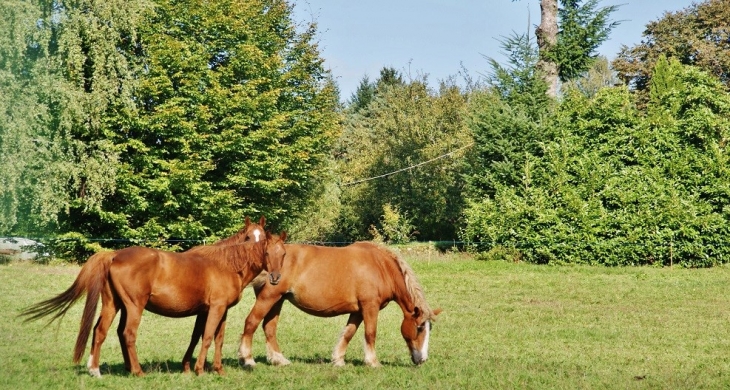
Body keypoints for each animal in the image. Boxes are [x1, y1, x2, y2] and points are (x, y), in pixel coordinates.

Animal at [18, 225, 286, 378]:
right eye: (251, 240)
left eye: (283, 253)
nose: (275, 277)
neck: (225, 264)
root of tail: (114, 254)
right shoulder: (216, 309)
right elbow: (208, 337)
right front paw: (199, 370)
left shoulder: (219, 310)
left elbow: (214, 338)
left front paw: (216, 369)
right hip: (134, 307)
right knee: (127, 334)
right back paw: (137, 371)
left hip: (114, 305)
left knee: (101, 331)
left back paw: (96, 370)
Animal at [237, 241, 438, 368]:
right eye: (420, 327)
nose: (422, 359)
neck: (381, 266)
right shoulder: (370, 307)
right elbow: (370, 334)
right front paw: (373, 362)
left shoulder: (358, 311)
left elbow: (348, 333)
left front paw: (338, 360)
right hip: (269, 297)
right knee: (251, 322)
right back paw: (247, 360)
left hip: (278, 300)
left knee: (269, 328)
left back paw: (279, 360)